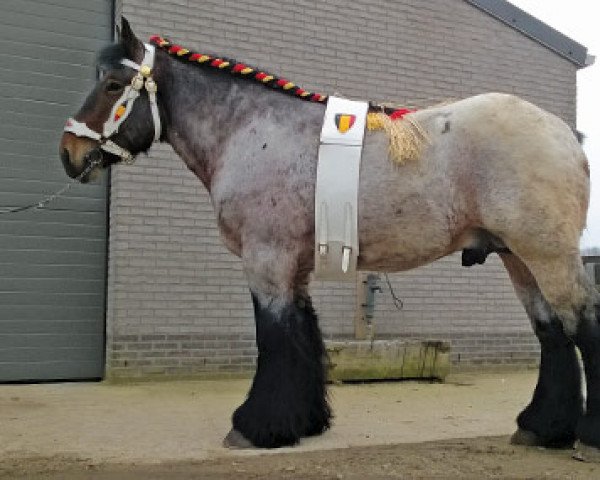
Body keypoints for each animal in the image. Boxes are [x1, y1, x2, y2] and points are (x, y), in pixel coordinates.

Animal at [58, 17, 596, 454]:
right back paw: (541, 428)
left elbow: (274, 337)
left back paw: (586, 437)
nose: (69, 153)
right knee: (552, 331)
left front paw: (255, 427)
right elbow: (302, 334)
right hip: (518, 257)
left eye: (112, 84)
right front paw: (304, 422)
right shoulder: (293, 264)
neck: (252, 132)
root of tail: (565, 134)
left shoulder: (266, 258)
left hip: (546, 254)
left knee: (582, 322)